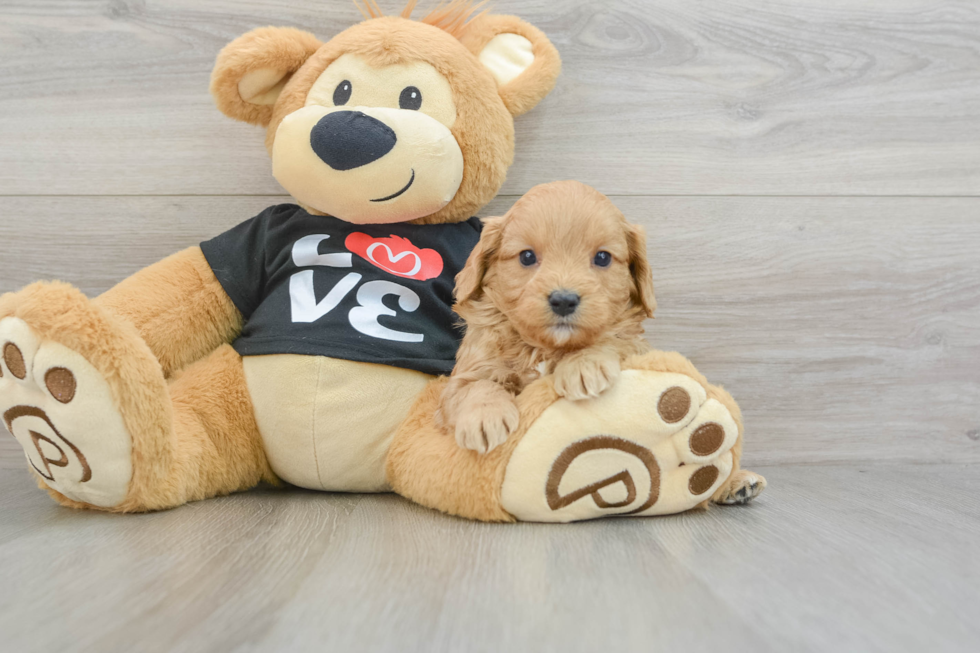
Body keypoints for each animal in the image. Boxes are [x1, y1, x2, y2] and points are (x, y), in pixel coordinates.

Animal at [438, 180, 656, 454]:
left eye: (603, 257)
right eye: (527, 256)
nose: (564, 301)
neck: (542, 348)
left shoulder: (638, 347)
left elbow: (615, 338)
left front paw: (584, 364)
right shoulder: (462, 377)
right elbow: (476, 385)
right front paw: (485, 416)